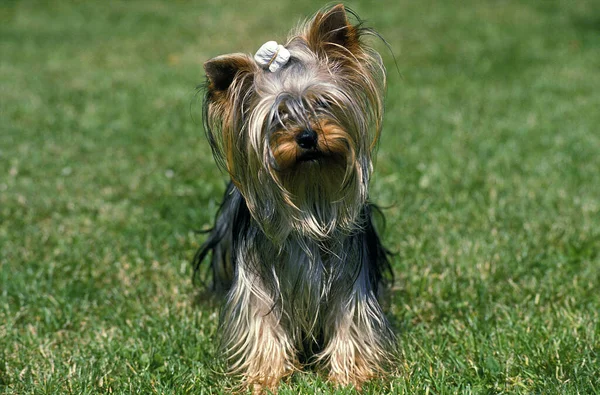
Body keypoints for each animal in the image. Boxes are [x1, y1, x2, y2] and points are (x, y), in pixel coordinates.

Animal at [195, 3, 396, 392]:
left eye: (323, 103)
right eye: (278, 117)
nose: (307, 137)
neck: (310, 191)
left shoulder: (351, 277)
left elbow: (350, 318)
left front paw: (351, 376)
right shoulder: (257, 278)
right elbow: (261, 321)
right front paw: (265, 377)